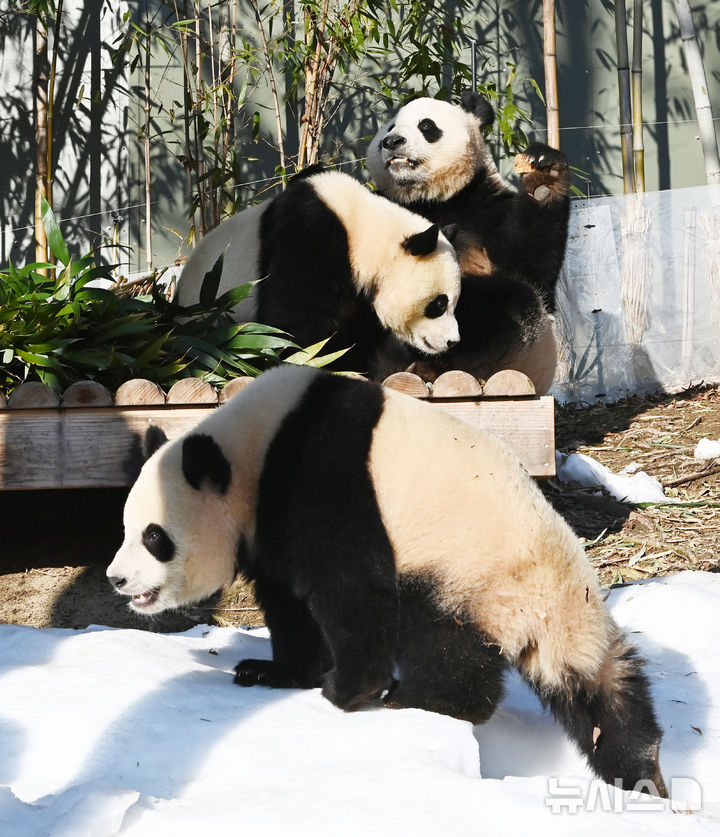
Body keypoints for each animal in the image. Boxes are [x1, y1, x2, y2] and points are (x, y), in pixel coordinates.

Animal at [108, 366, 668, 796]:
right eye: (126, 529)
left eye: (155, 536)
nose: (116, 579)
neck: (253, 454)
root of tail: (548, 611)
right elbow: (289, 605)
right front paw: (269, 671)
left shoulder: (323, 478)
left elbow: (350, 588)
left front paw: (343, 690)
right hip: (568, 623)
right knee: (609, 694)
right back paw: (642, 774)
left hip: (468, 574)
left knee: (442, 641)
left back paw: (415, 698)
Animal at [368, 93, 572, 394]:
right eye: (390, 127)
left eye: (426, 126)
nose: (392, 142)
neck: (434, 199)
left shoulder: (486, 210)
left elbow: (531, 267)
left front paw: (542, 176)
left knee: (513, 301)